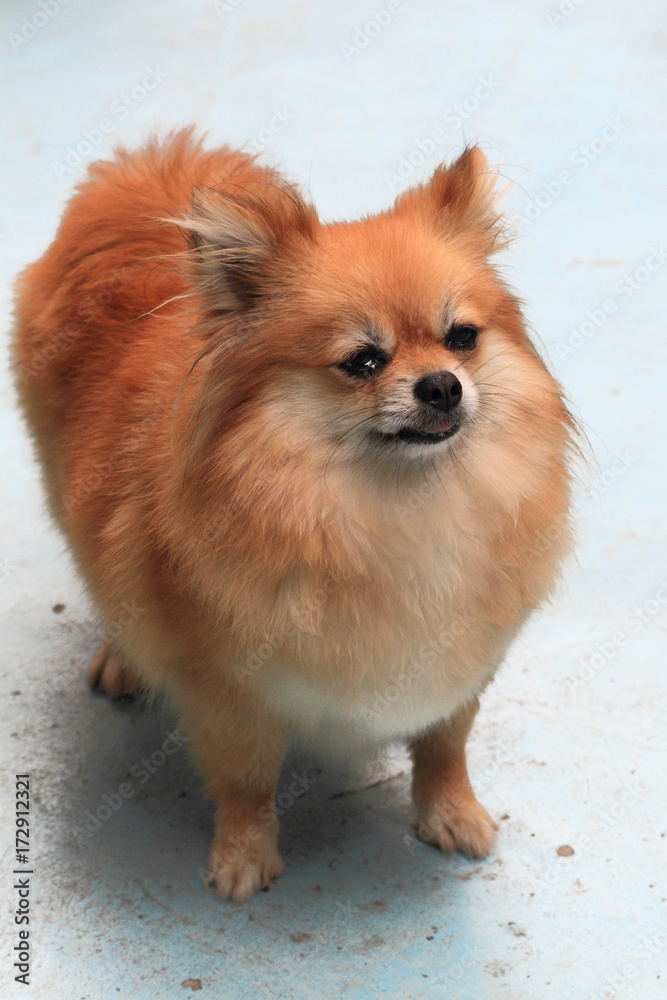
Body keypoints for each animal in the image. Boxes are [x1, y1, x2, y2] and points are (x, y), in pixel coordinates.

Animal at [10, 129, 576, 904]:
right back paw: (122, 658)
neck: (397, 511)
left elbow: (443, 747)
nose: (441, 385)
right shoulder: (230, 694)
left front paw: (451, 813)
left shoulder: (464, 664)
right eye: (363, 361)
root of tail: (144, 174)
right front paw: (243, 857)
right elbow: (246, 783)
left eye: (461, 338)